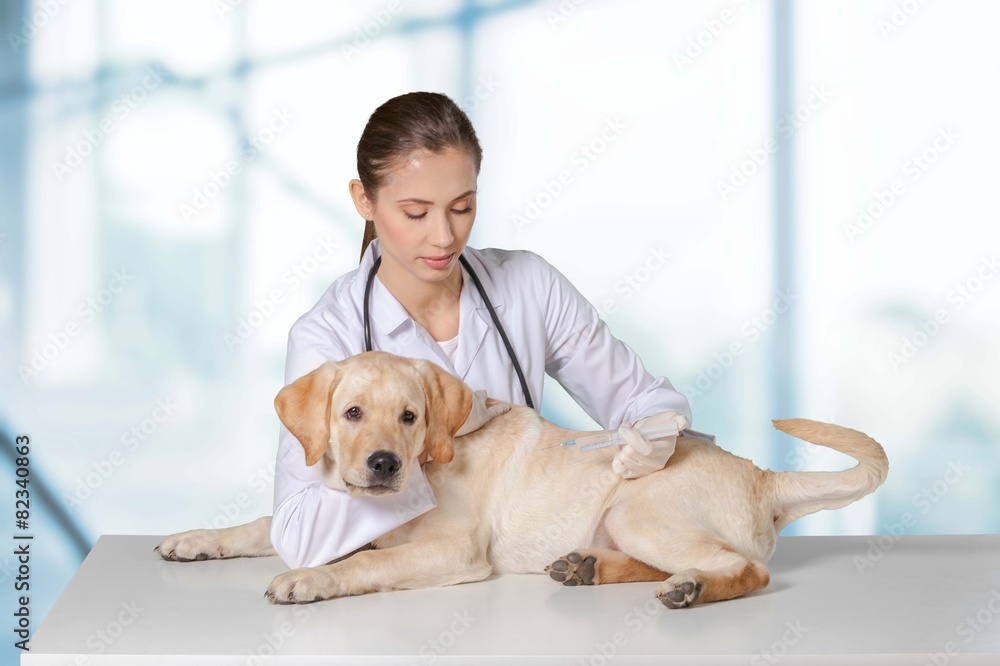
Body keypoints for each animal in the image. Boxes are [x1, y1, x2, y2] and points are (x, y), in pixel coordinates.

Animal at [156, 352, 892, 608]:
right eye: (352, 413)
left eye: (410, 417)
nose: (385, 464)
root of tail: (762, 476)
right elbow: (263, 524)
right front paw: (194, 538)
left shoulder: (454, 550)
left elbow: (364, 564)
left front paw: (311, 579)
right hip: (626, 520)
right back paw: (589, 567)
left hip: (638, 507)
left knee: (746, 570)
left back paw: (688, 589)